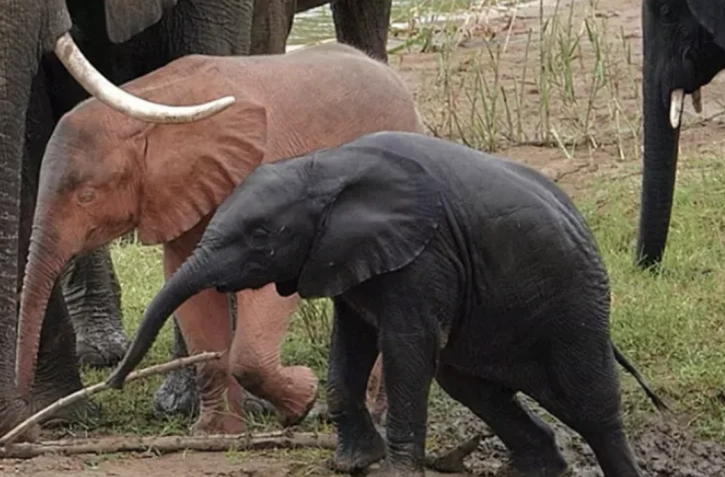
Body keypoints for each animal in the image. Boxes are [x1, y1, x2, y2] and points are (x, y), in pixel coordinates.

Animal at [17, 43, 424, 436]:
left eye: (87, 196)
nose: (28, 425)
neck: (152, 108)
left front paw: (302, 402)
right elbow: (185, 283)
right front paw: (215, 433)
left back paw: (373, 415)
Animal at [107, 131, 668, 477]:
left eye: (260, 236)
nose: (112, 382)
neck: (325, 166)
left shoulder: (425, 256)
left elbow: (405, 348)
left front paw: (393, 470)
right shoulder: (346, 258)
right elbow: (351, 346)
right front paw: (351, 464)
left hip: (575, 303)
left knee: (592, 404)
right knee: (472, 386)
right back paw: (537, 468)